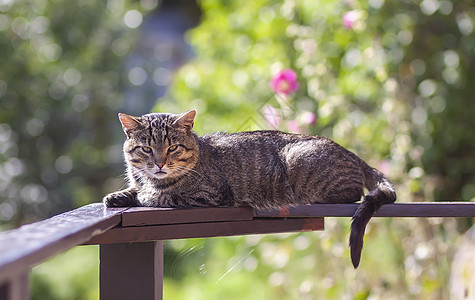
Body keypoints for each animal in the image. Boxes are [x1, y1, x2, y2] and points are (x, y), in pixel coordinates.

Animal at [104, 109, 398, 268]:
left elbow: (160, 195)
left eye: (172, 147)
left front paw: (146, 194)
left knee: (355, 193)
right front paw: (117, 196)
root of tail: (353, 155)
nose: (159, 163)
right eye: (146, 148)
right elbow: (133, 189)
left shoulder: (208, 194)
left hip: (298, 158)